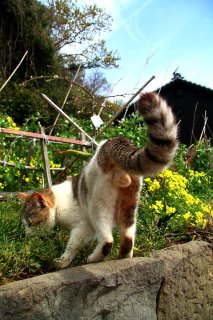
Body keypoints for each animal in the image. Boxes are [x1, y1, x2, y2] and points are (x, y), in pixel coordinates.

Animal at [18, 91, 179, 268]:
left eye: (31, 223)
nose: (26, 235)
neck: (58, 203)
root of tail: (113, 144)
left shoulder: (83, 226)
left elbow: (73, 245)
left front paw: (62, 262)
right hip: (129, 205)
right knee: (128, 239)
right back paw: (122, 257)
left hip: (98, 207)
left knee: (108, 241)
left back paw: (92, 259)